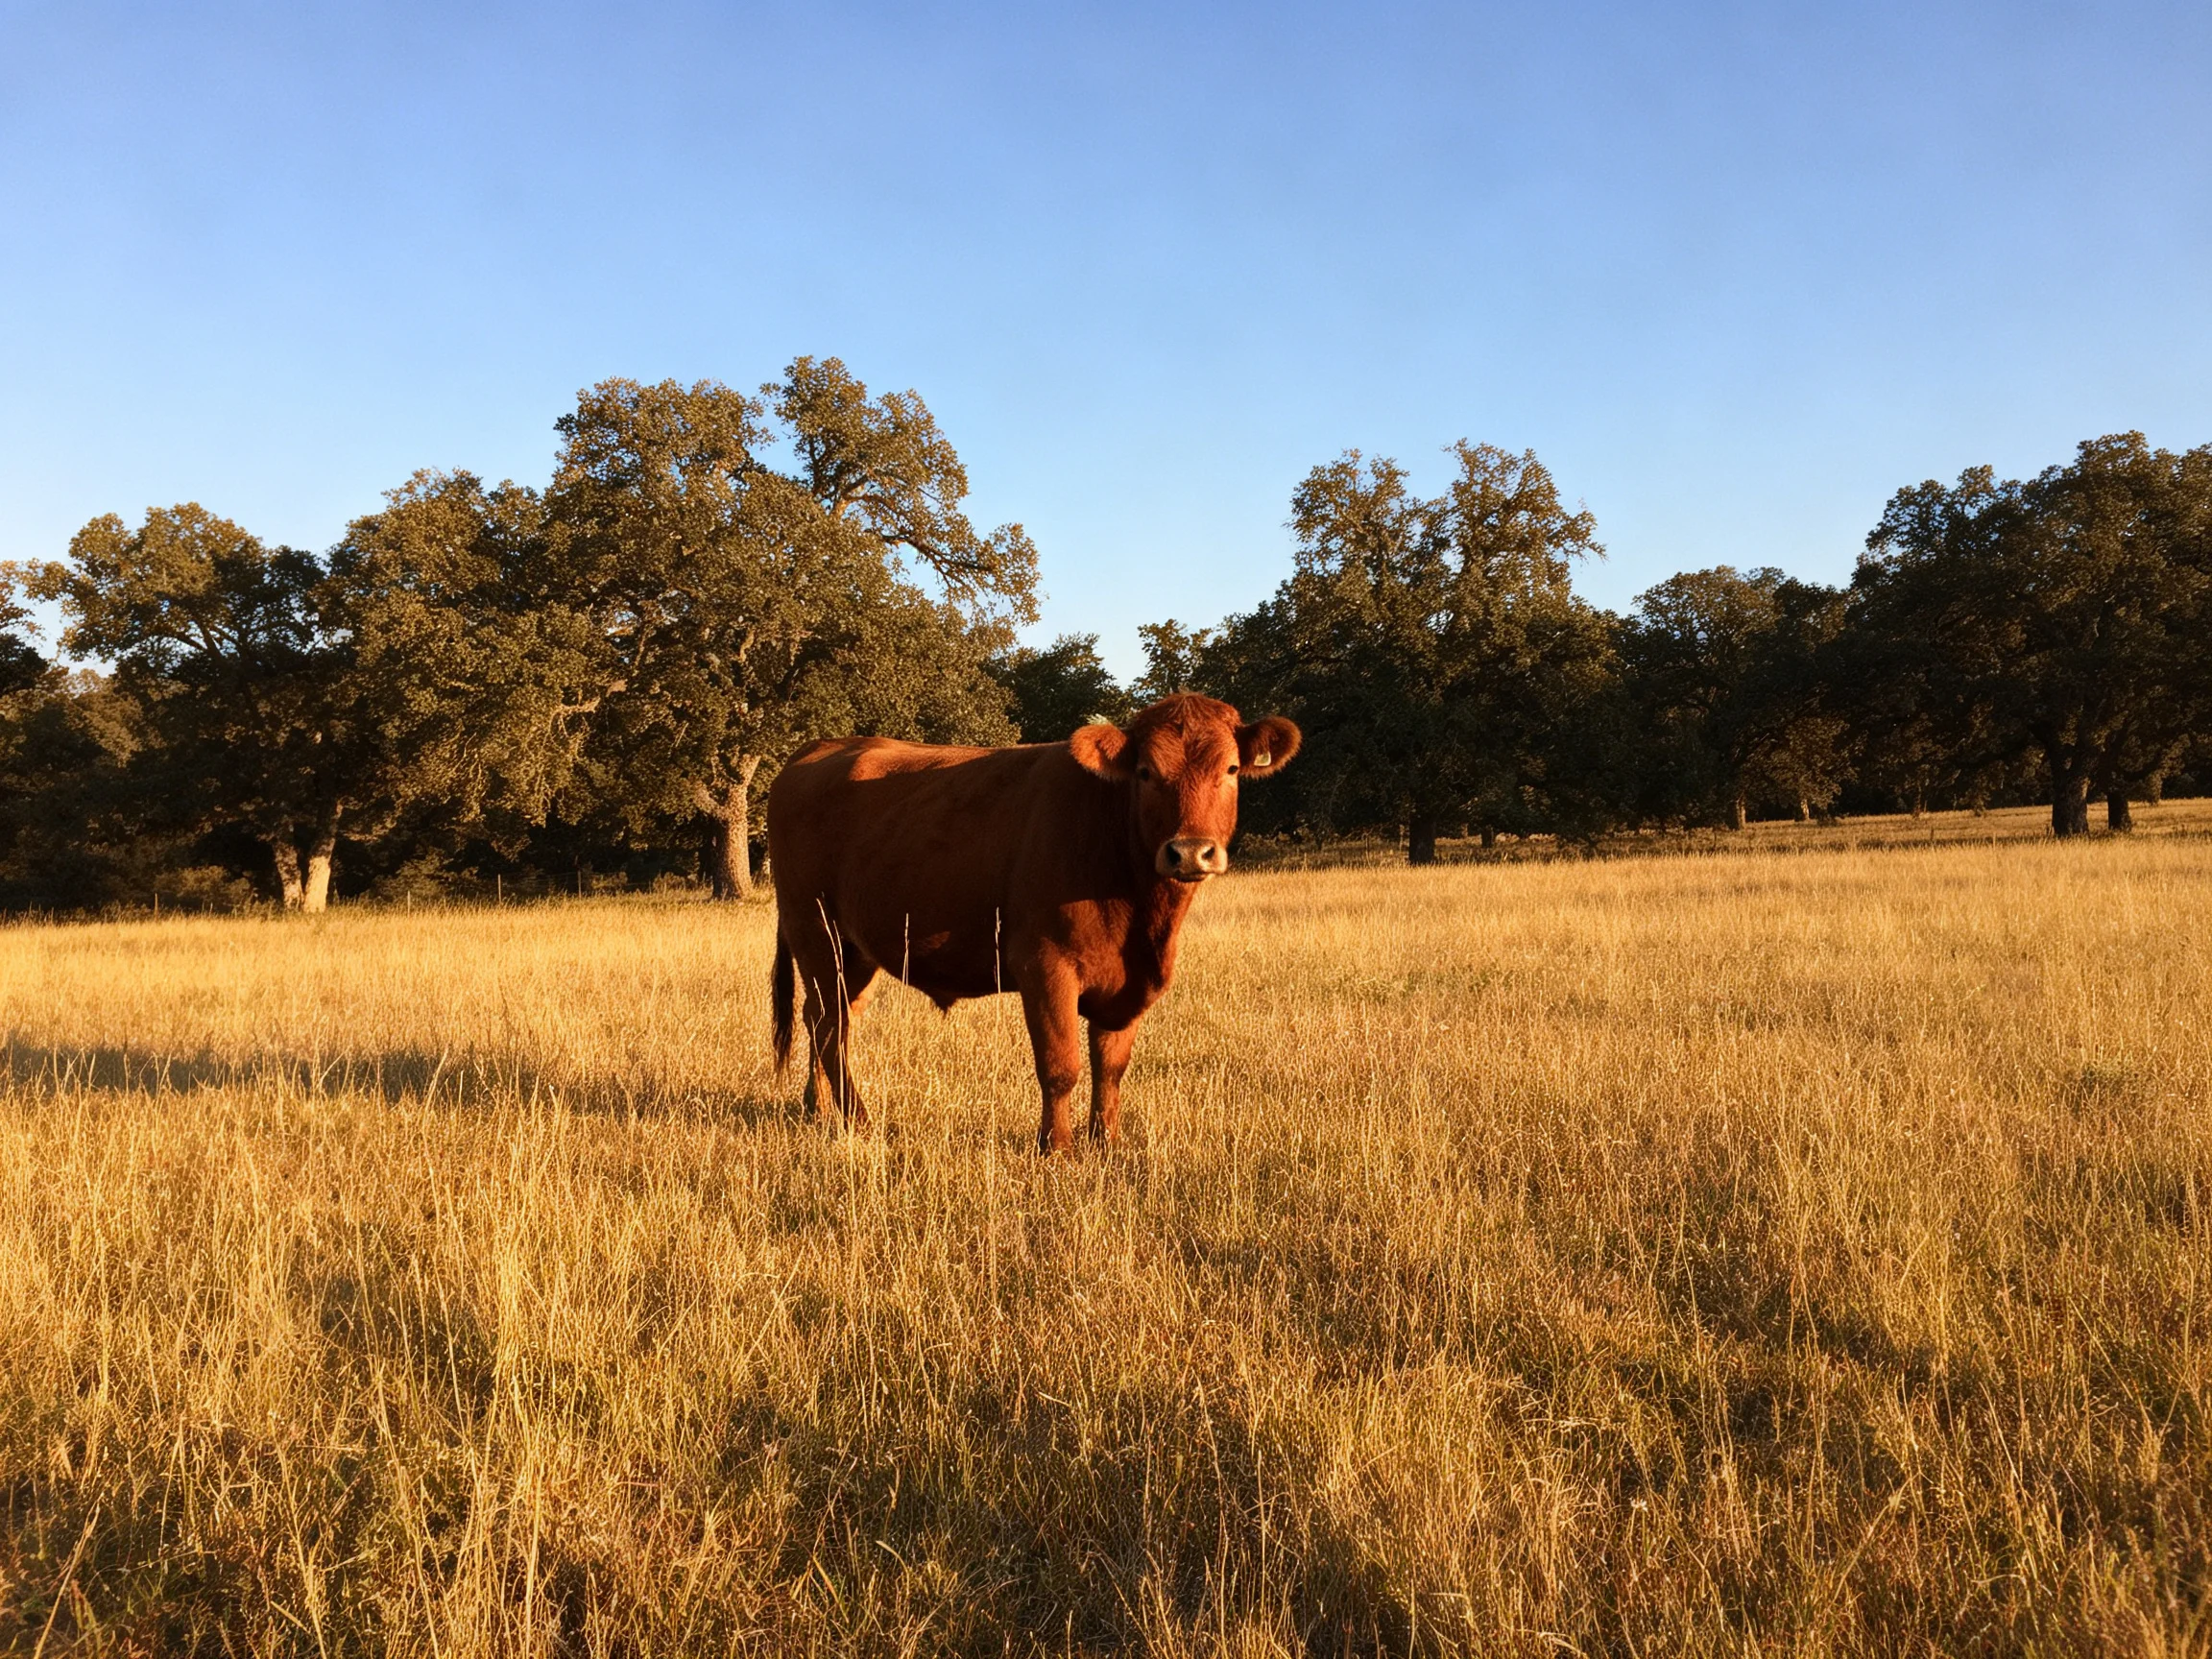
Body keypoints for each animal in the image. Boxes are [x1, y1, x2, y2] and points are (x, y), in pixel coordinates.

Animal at [766, 694, 1301, 1152]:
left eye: (1230, 769)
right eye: (1146, 772)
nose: (1189, 851)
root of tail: (818, 748)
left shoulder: (1128, 981)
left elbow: (1111, 1065)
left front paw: (1106, 1142)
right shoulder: (1044, 964)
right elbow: (1060, 1064)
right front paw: (1057, 1148)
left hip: (855, 949)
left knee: (826, 1017)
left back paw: (818, 1110)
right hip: (814, 929)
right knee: (831, 1026)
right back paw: (858, 1119)